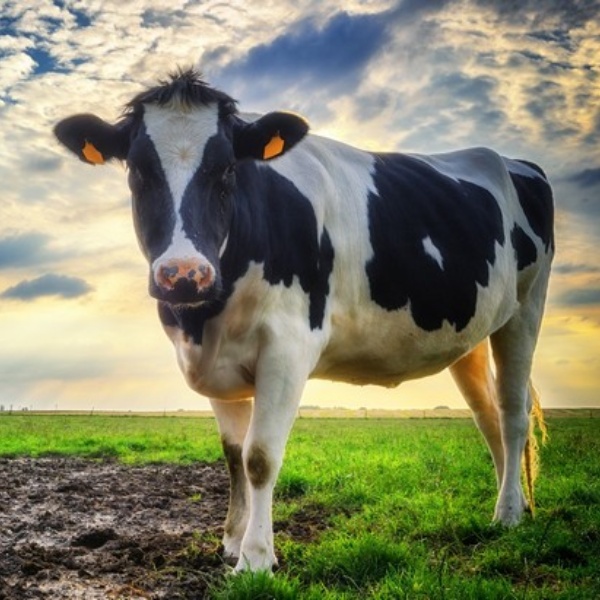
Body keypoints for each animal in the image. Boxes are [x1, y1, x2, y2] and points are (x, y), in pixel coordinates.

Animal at [55, 65, 552, 572]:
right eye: (138, 170)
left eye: (228, 169)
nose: (184, 275)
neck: (206, 317)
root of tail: (516, 162)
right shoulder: (211, 358)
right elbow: (233, 454)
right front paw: (232, 541)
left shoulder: (288, 346)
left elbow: (259, 456)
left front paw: (255, 559)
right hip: (470, 335)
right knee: (487, 416)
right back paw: (511, 505)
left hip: (526, 308)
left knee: (512, 414)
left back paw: (509, 514)